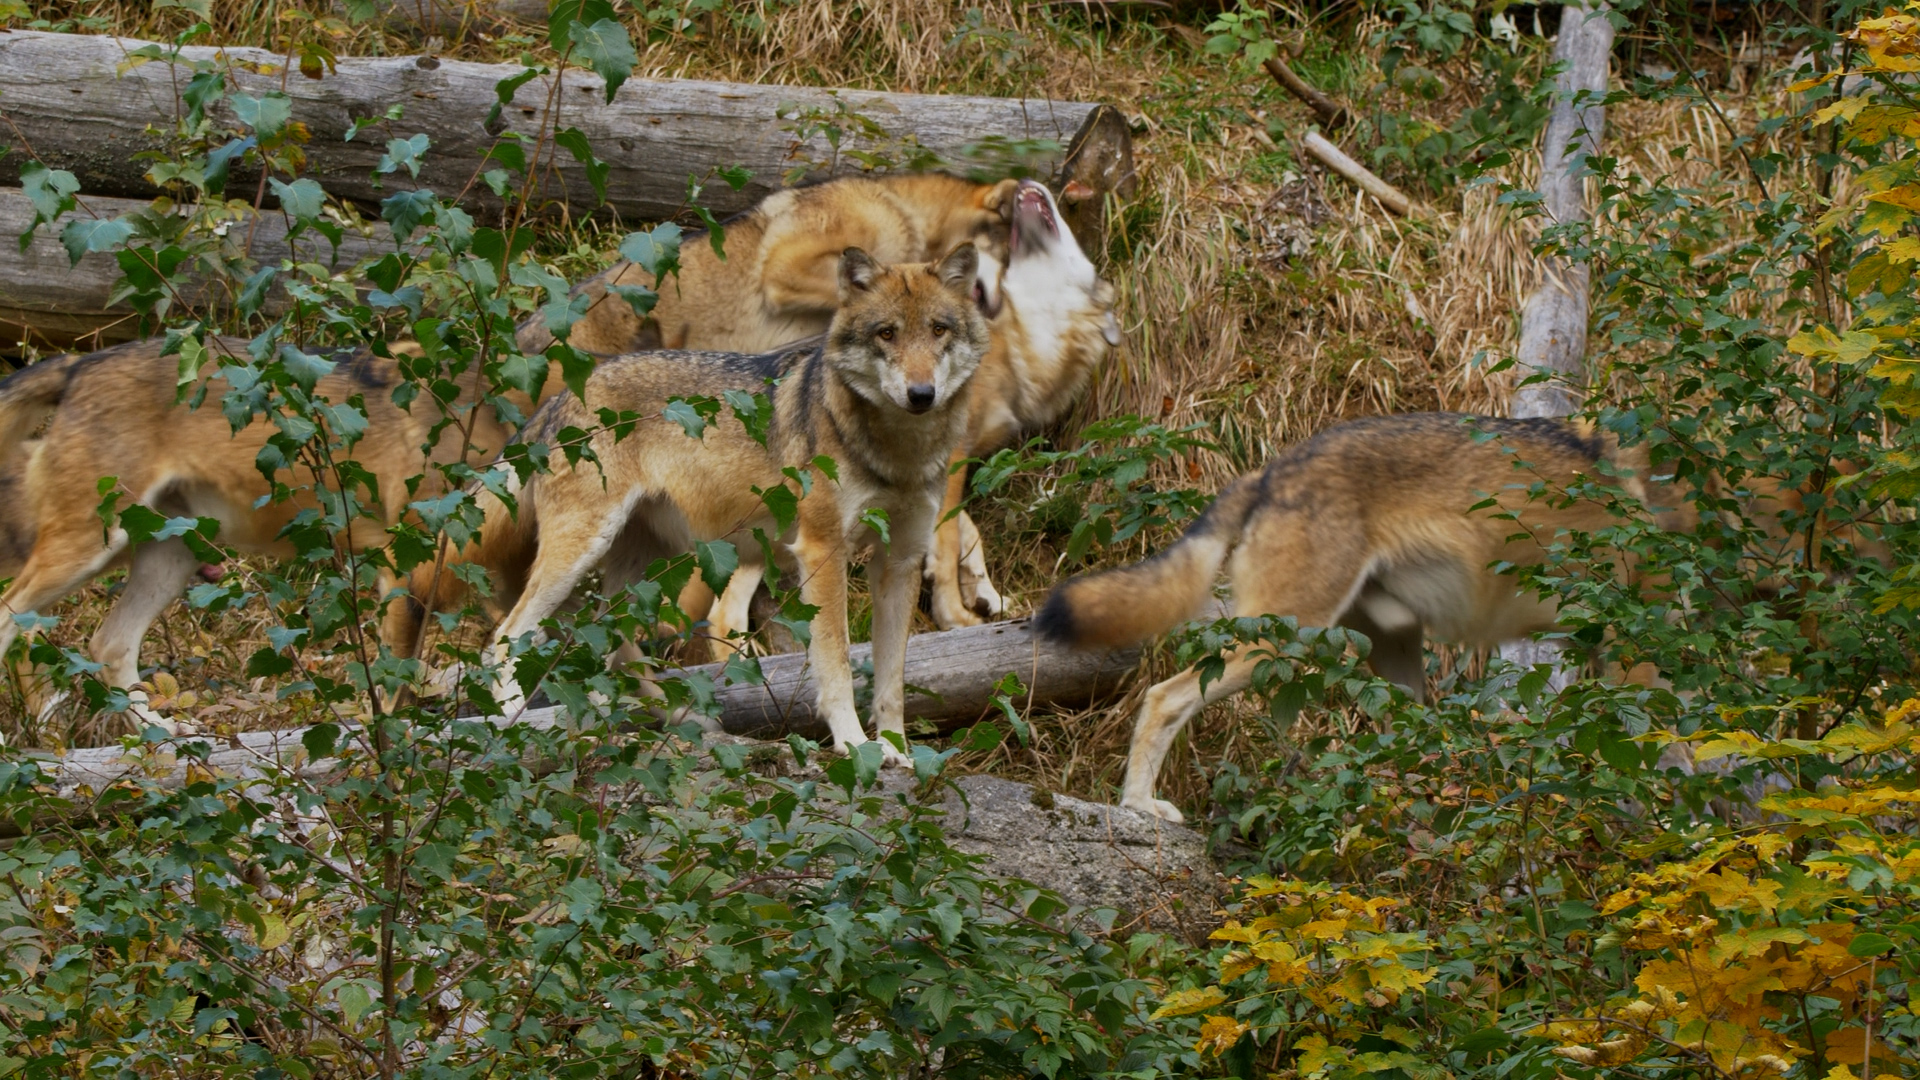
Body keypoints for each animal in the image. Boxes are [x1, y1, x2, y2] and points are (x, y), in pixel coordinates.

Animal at [0, 338, 552, 733]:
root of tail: (79, 363)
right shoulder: (408, 567)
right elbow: (396, 689)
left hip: (165, 558)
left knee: (107, 645)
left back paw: (165, 740)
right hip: (89, 549)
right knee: (15, 619)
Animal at [388, 245, 991, 761]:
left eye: (938, 330)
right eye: (886, 333)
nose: (921, 395)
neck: (897, 452)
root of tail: (559, 398)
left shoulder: (901, 561)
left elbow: (892, 681)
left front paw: (896, 754)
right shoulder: (822, 553)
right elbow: (838, 664)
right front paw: (855, 746)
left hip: (638, 570)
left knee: (606, 648)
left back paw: (655, 723)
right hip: (582, 555)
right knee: (508, 637)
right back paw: (516, 724)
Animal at [1034, 413, 1694, 823]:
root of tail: (1271, 470)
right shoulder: (1638, 651)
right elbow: (1665, 756)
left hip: (1390, 664)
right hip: (1283, 642)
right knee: (1163, 696)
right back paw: (1140, 806)